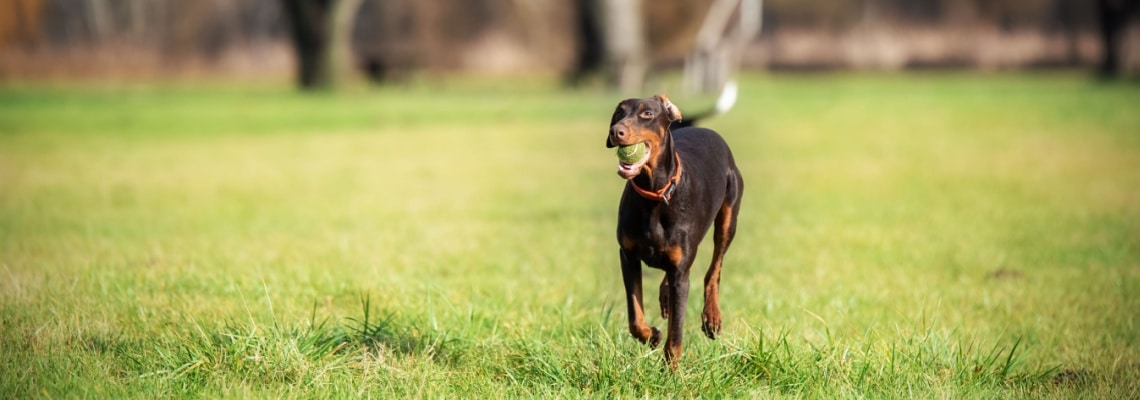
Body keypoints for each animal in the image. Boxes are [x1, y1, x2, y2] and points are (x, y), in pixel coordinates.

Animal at [606, 94, 747, 369]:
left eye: (647, 114)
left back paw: (711, 317)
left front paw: (671, 372)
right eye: (619, 112)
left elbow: (676, 333)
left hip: (728, 219)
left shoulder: (681, 273)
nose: (616, 131)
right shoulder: (627, 256)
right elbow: (635, 316)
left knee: (714, 268)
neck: (654, 196)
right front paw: (651, 335)